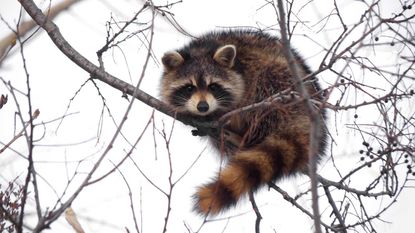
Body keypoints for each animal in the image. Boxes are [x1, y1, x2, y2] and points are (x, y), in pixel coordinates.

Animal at [161, 30, 326, 216]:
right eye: (189, 88)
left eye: (213, 87)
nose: (203, 107)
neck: (202, 49)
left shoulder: (246, 70)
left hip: (284, 86)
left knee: (265, 84)